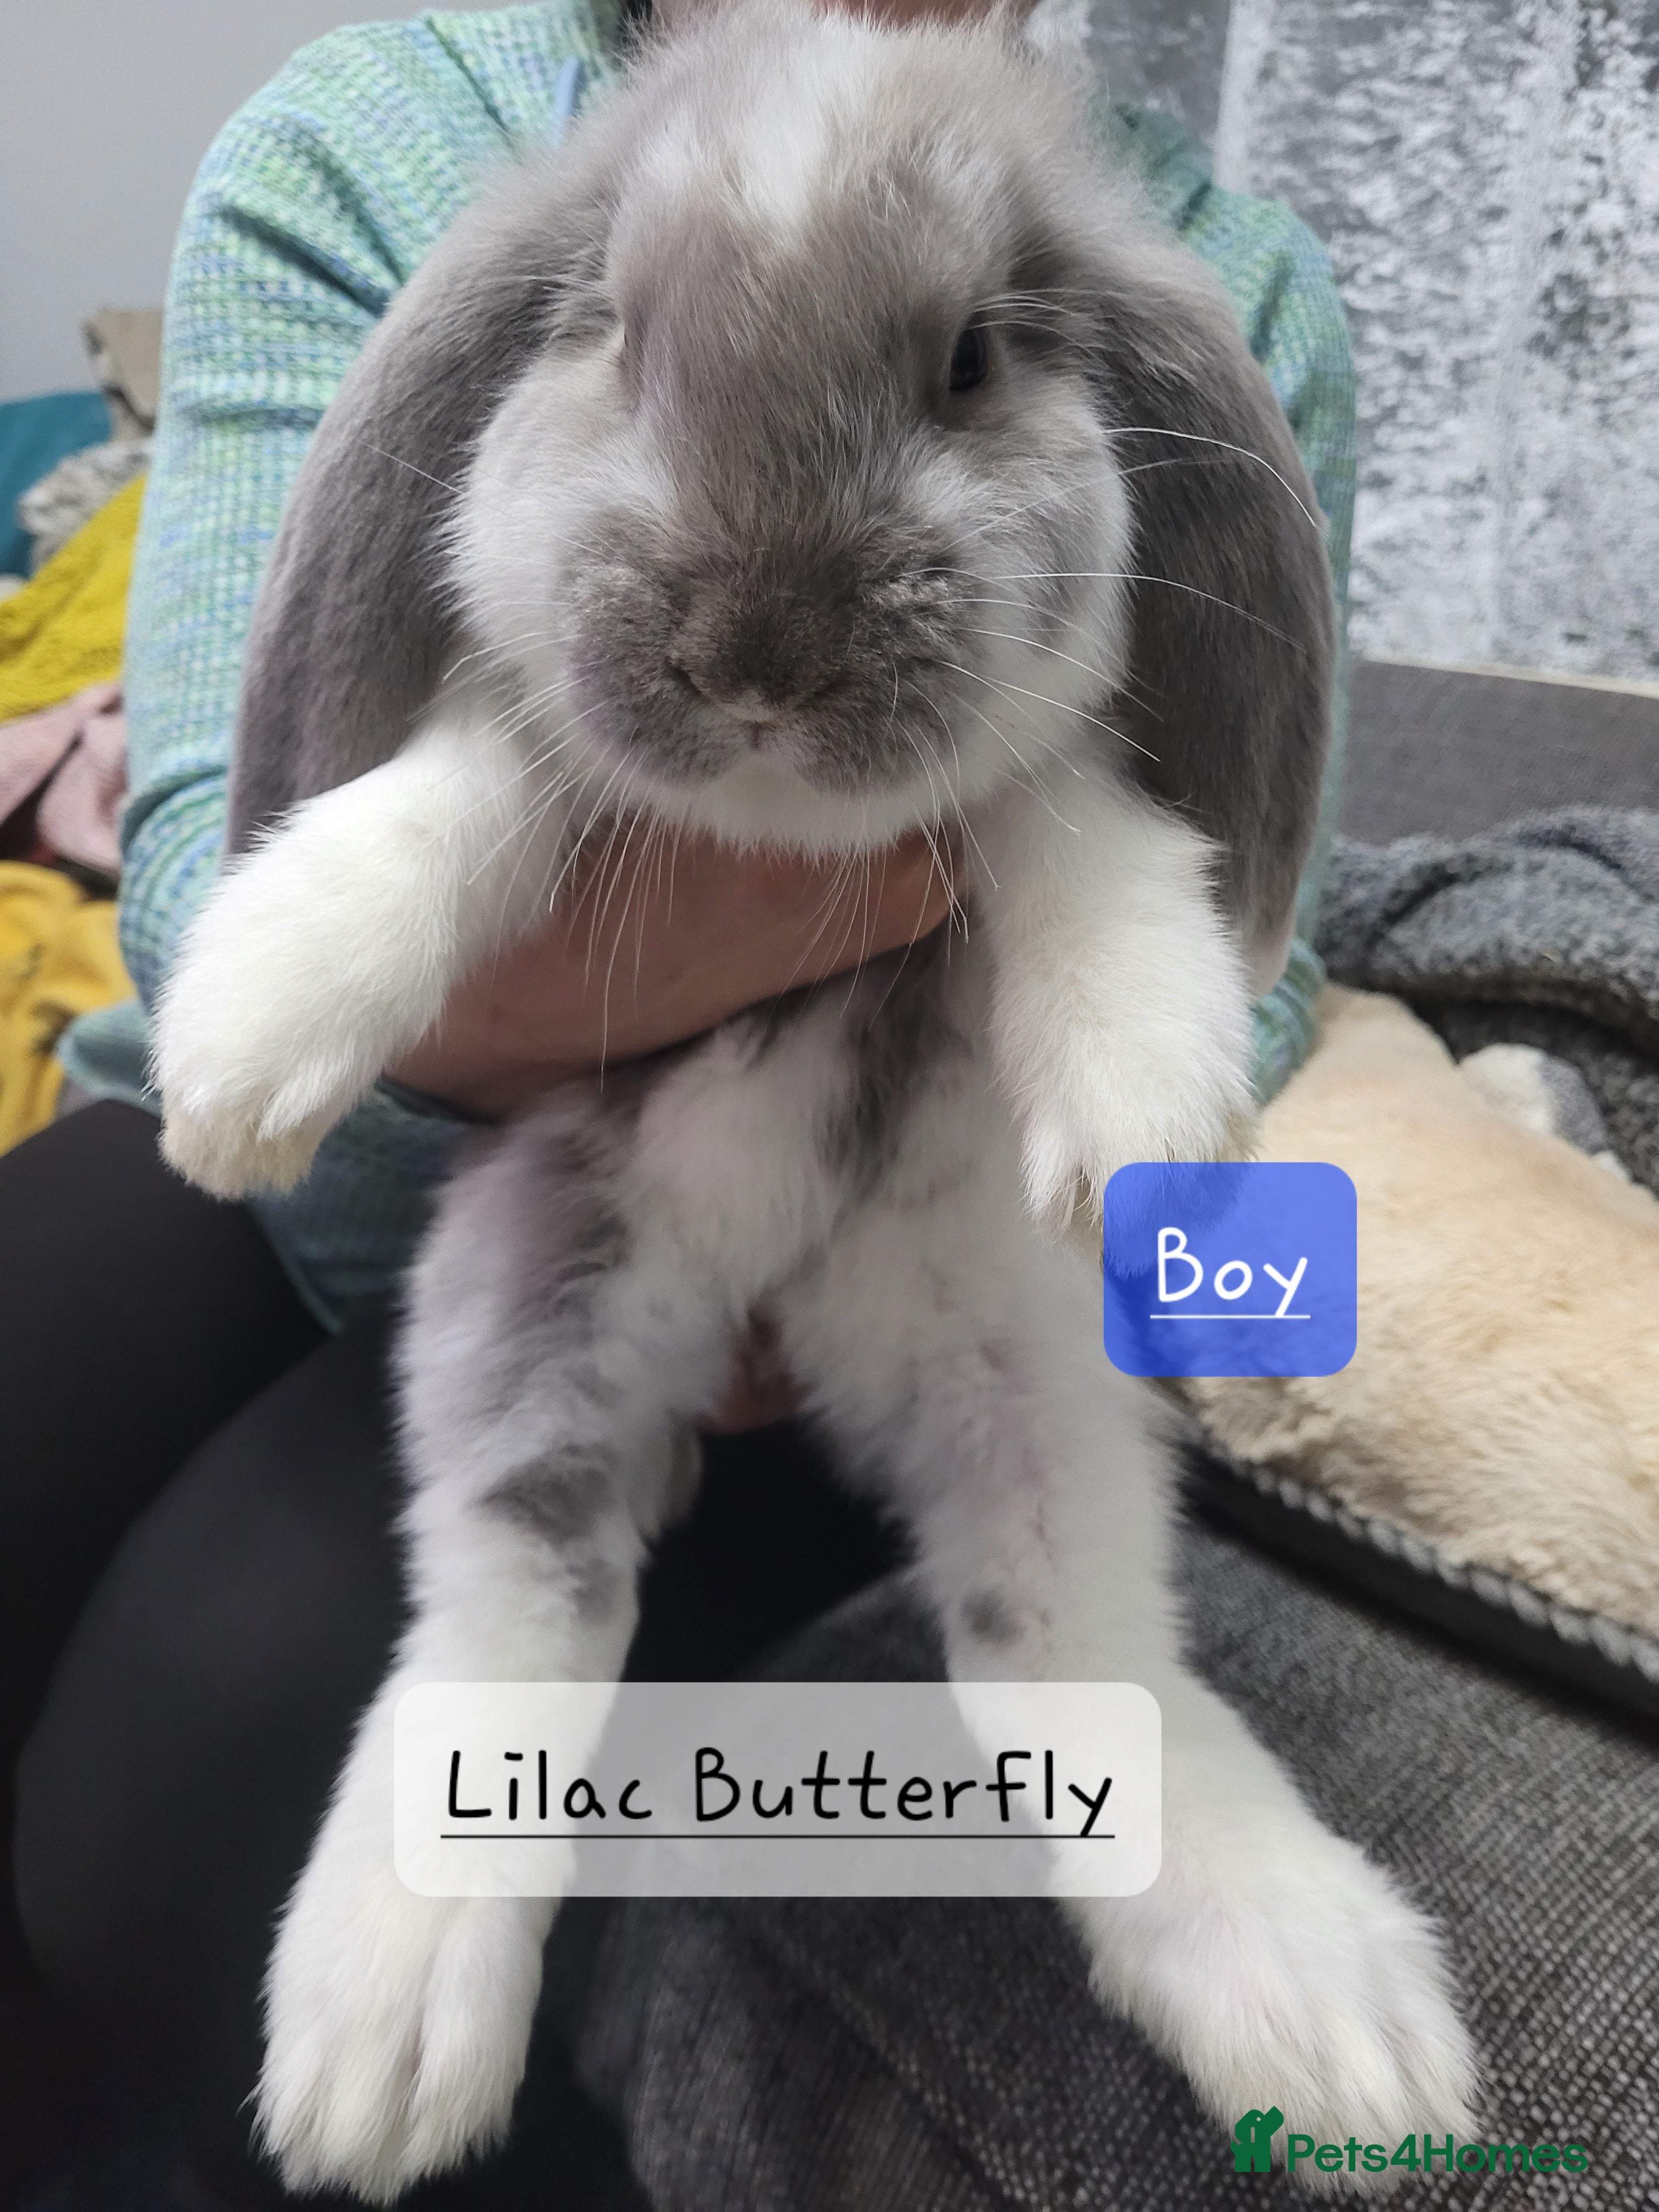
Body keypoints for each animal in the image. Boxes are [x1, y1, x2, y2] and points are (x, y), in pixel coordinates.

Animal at [153, 0, 1477, 2196]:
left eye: (971, 357)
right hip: (534, 1290)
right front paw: (248, 1036)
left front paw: (1145, 1091)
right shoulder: (537, 726)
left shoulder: (1036, 765)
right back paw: (385, 2028)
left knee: (1056, 1652)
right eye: (605, 330)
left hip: (1025, 1381)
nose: (754, 655)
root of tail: (783, 1316)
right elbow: (482, 775)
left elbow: (1061, 812)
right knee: (518, 1597)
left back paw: (1324, 2011)